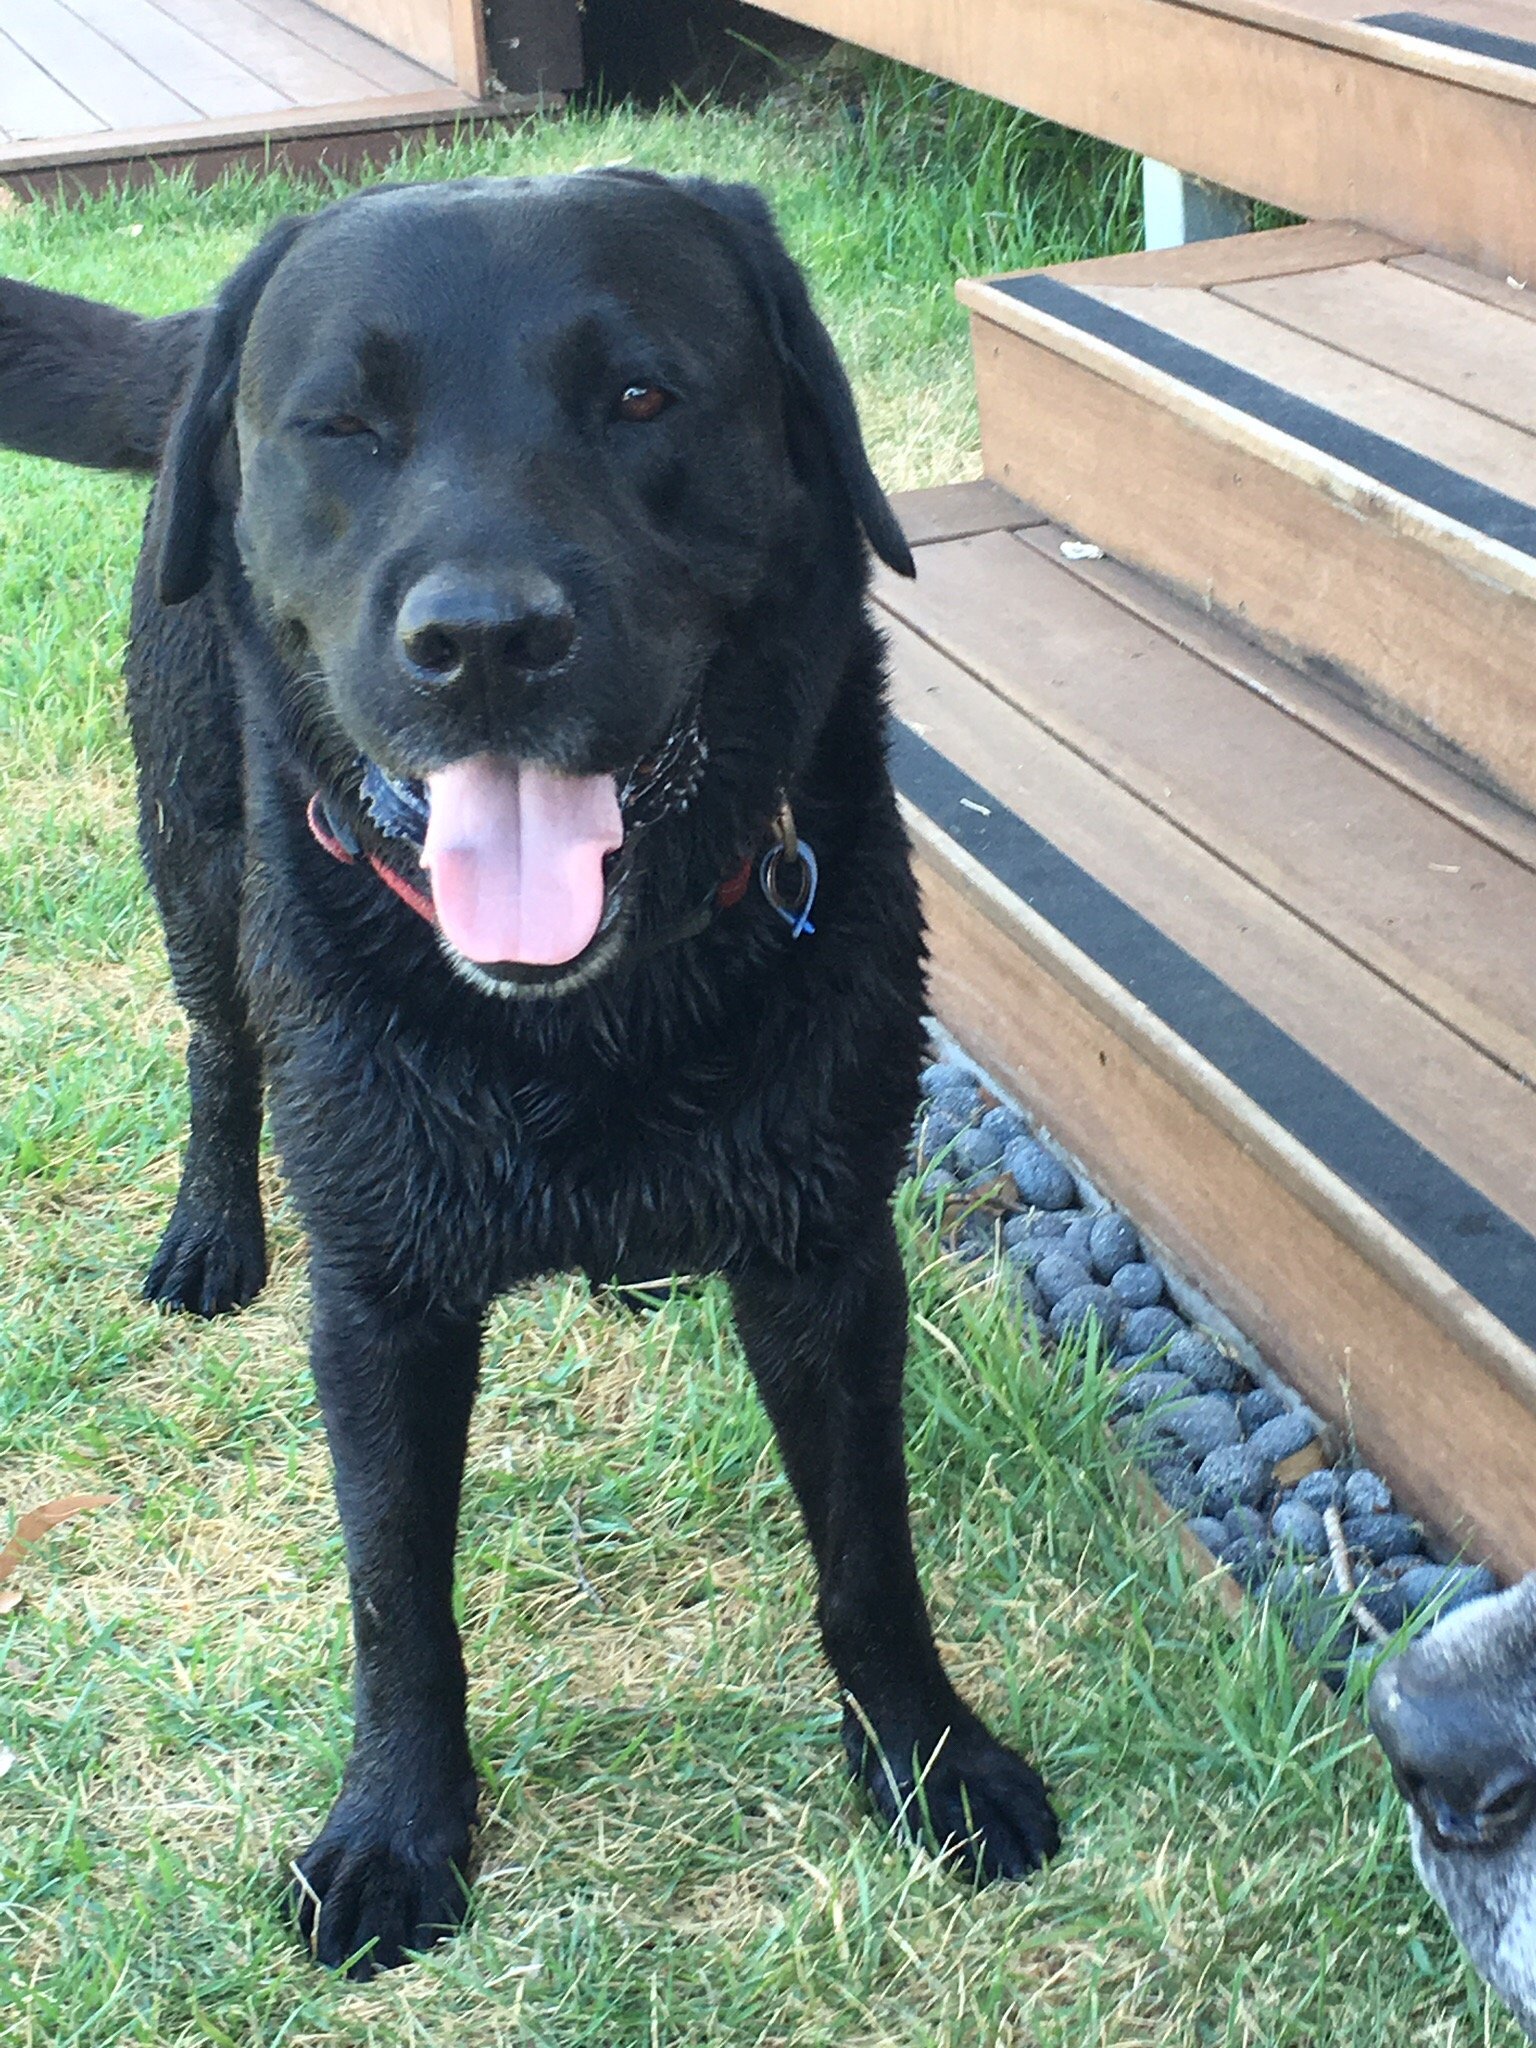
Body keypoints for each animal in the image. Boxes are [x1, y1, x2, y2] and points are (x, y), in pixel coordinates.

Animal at [0, 172, 1056, 1966]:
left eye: (639, 396)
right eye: (343, 427)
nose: (484, 641)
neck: (581, 1024)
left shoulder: (829, 1254)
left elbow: (869, 1551)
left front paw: (926, 1758)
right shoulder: (377, 1299)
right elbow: (394, 1597)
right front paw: (395, 1829)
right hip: (193, 856)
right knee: (215, 1049)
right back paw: (210, 1232)